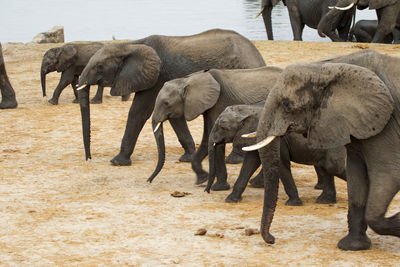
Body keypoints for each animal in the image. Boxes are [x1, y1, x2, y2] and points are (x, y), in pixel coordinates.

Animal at [76, 28, 268, 163]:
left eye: (99, 66)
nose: (88, 158)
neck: (131, 45)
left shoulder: (157, 76)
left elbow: (138, 112)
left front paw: (117, 162)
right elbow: (173, 117)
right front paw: (188, 157)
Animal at [148, 66, 282, 185]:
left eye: (166, 103)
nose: (149, 180)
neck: (188, 80)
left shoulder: (219, 102)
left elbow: (214, 139)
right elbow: (207, 138)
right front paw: (202, 179)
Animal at [205, 103, 346, 204]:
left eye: (222, 126)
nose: (207, 191)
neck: (250, 109)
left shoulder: (279, 141)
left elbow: (279, 164)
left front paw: (293, 204)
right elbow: (250, 163)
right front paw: (230, 200)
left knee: (334, 167)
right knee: (327, 168)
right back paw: (324, 201)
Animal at [244, 49, 400, 251]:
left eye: (287, 104)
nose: (272, 239)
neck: (327, 67)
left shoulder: (387, 124)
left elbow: (389, 176)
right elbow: (356, 179)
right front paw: (352, 246)